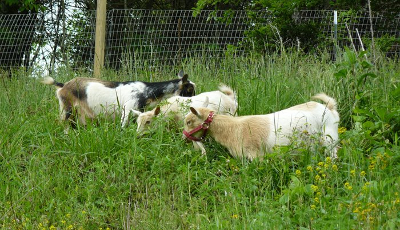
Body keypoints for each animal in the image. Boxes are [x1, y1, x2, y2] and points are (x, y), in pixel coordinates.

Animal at [41, 71, 195, 128]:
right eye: (189, 90)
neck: (146, 91)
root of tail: (63, 85)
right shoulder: (127, 109)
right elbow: (123, 125)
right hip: (67, 109)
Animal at [183, 93, 340, 160]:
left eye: (189, 122)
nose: (184, 137)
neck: (233, 129)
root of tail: (329, 107)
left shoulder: (256, 157)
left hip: (329, 138)